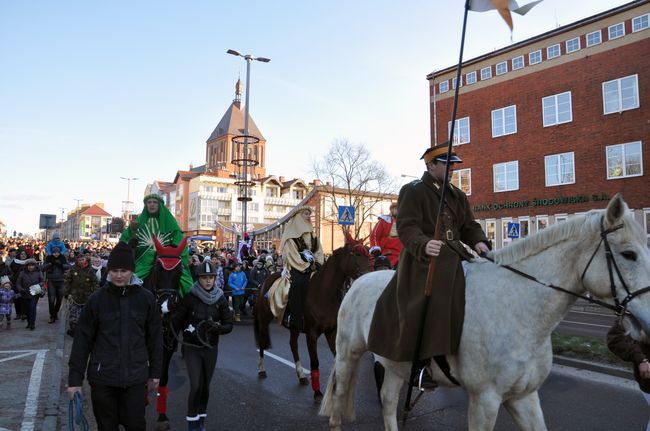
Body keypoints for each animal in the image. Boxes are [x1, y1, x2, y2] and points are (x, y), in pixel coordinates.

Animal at [252, 240, 368, 402]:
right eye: (356, 254)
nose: (370, 273)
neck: (324, 293)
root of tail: (266, 281)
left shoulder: (331, 331)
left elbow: (336, 357)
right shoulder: (312, 334)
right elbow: (315, 361)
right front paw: (318, 391)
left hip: (294, 327)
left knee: (293, 346)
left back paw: (301, 375)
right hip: (264, 320)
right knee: (262, 342)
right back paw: (261, 370)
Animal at [318, 196, 648, 431]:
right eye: (629, 254)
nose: (647, 320)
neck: (519, 310)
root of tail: (358, 282)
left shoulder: (524, 397)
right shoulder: (484, 400)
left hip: (395, 363)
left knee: (387, 401)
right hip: (347, 354)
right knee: (338, 402)